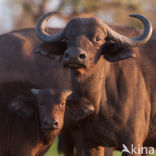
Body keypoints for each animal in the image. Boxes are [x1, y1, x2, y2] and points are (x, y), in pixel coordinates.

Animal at [35, 11, 156, 155]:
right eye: (68, 37)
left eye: (98, 38)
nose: (73, 56)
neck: (100, 103)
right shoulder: (91, 142)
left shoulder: (133, 142)